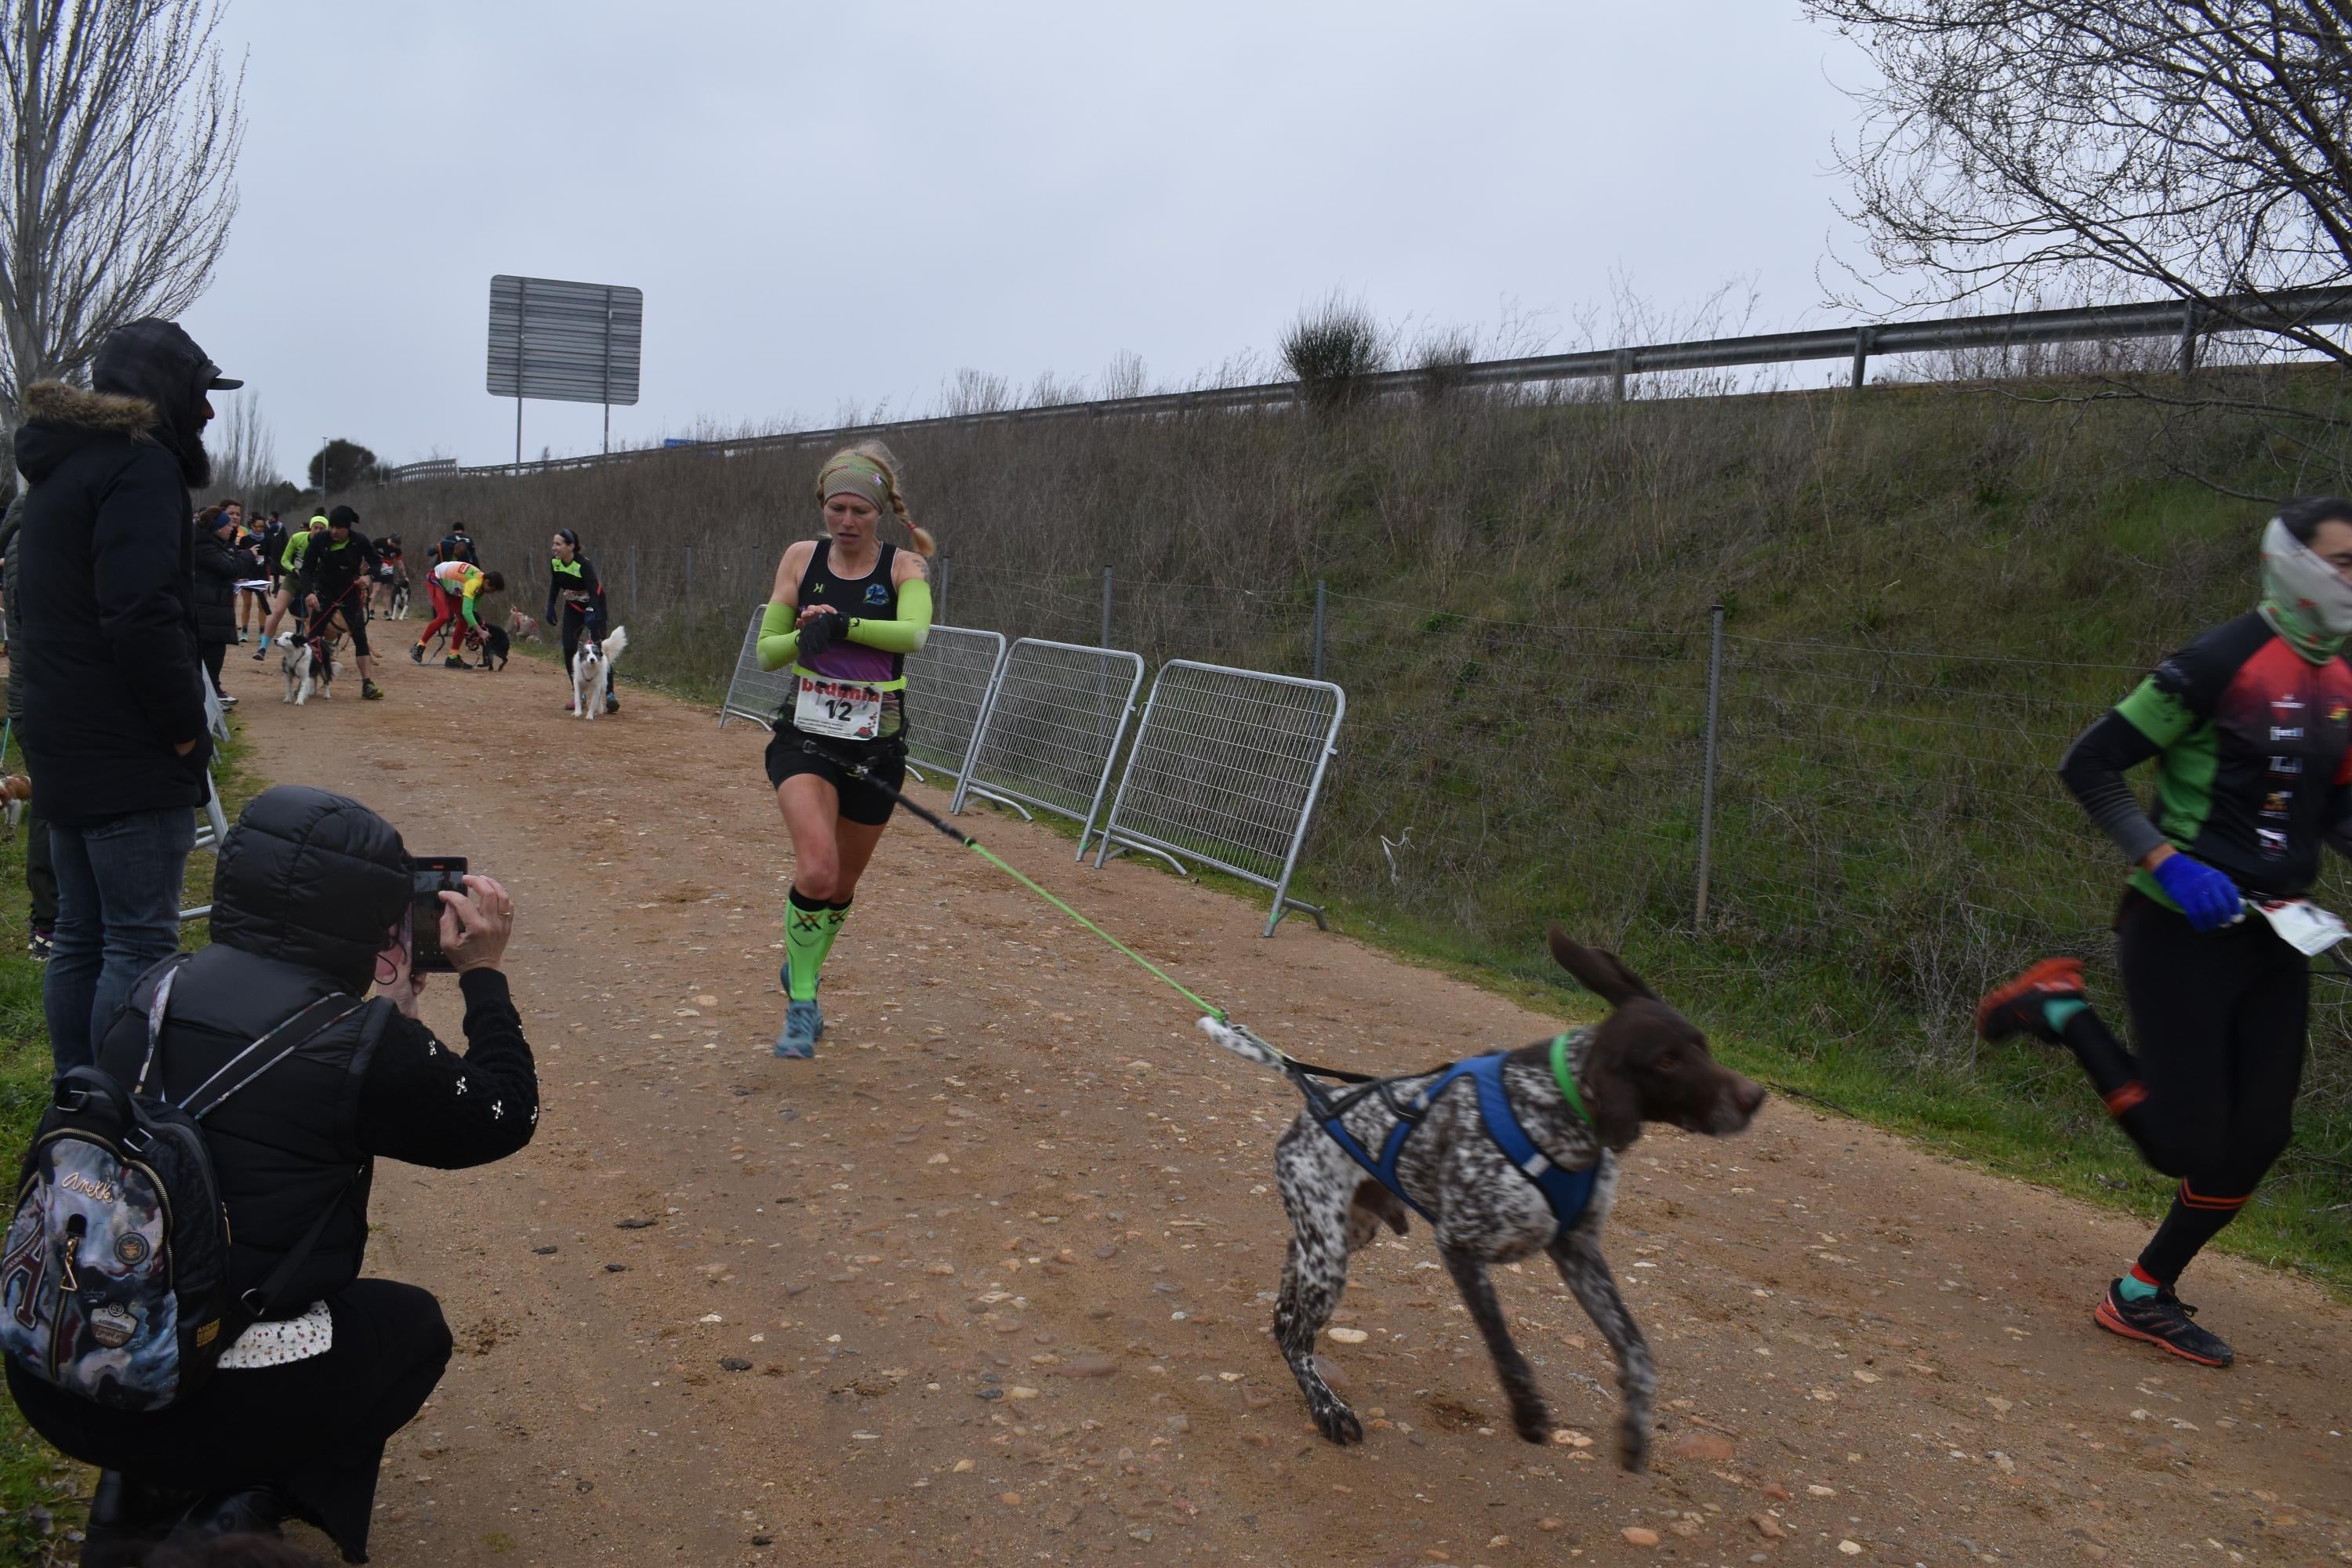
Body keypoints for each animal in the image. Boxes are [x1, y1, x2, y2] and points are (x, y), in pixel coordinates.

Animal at [1214, 921, 1769, 1476]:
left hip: (1343, 1235)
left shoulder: (1579, 1250)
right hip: (1331, 1259)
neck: (1557, 1106)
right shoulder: (1460, 1246)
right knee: (1298, 1340)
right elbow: (1503, 1343)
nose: (1755, 1097)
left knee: (1291, 1289)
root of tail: (1317, 1099)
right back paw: (1326, 1406)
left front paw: (1635, 1423)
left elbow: (1636, 1348)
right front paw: (1528, 1412)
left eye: (1703, 1046)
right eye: (1667, 1060)